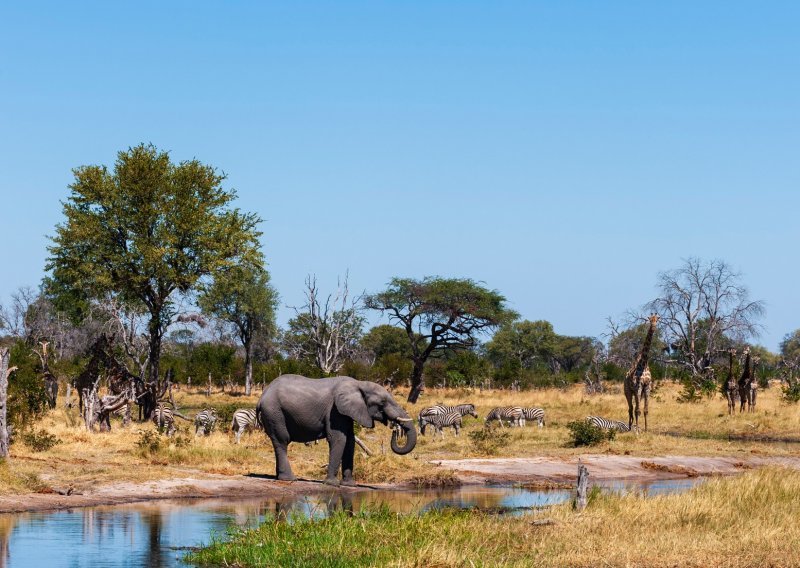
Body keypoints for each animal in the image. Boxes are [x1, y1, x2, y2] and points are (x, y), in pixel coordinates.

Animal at [258, 374, 418, 486]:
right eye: (382, 402)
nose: (395, 428)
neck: (359, 384)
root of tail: (262, 397)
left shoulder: (347, 412)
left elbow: (350, 442)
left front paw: (350, 485)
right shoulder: (334, 411)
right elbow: (339, 439)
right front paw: (332, 484)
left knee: (278, 442)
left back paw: (280, 477)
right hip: (274, 412)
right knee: (282, 440)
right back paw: (290, 479)